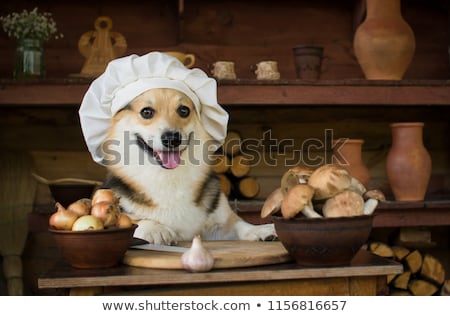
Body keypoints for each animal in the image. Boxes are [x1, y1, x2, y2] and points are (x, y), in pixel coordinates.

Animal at [101, 87, 276, 246]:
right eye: (147, 112)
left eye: (183, 110)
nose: (172, 138)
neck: (168, 177)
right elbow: (135, 220)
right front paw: (155, 228)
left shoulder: (219, 224)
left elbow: (239, 225)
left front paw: (261, 229)